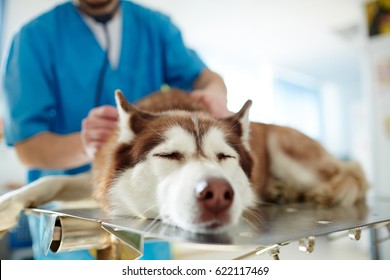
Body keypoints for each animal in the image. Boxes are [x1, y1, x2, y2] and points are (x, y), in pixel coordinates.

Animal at [0, 88, 368, 234]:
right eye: (168, 155)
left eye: (225, 157)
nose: (217, 194)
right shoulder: (100, 177)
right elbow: (53, 179)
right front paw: (9, 202)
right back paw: (282, 191)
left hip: (286, 149)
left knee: (352, 176)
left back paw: (321, 191)